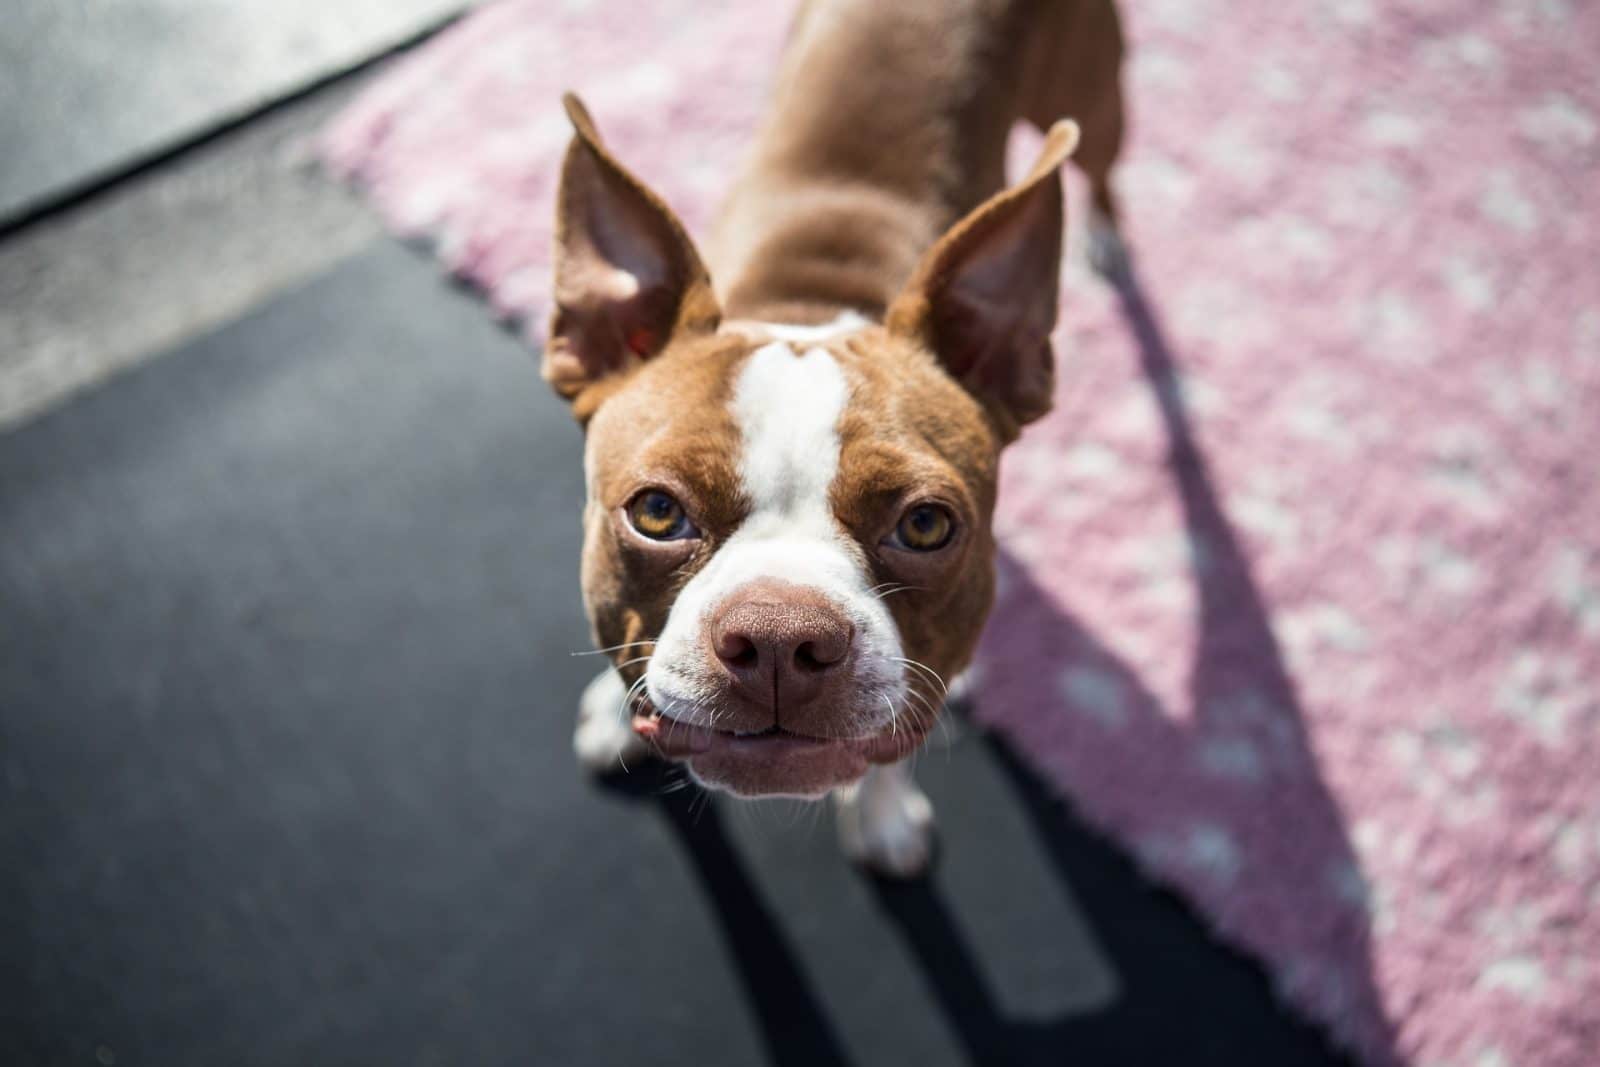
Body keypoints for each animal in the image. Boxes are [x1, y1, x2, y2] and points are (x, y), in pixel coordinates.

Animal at [550, 0, 1126, 876]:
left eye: (925, 525)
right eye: (655, 512)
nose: (779, 636)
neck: (811, 304)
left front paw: (883, 817)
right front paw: (615, 714)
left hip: (1094, 97)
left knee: (1100, 167)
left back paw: (1106, 235)